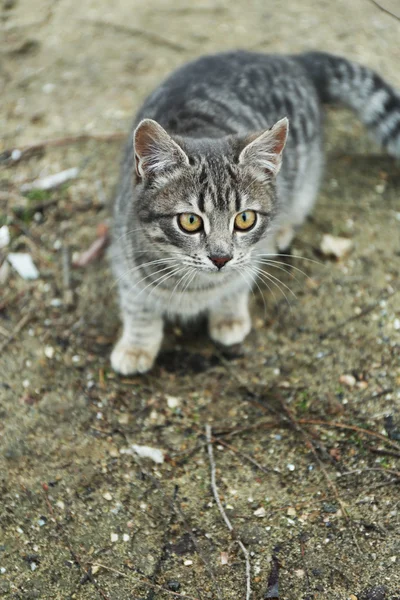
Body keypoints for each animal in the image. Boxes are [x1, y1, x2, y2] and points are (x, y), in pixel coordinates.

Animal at [109, 50, 400, 376]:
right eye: (190, 221)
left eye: (245, 219)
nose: (221, 258)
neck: (197, 286)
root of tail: (289, 59)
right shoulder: (124, 257)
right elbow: (138, 306)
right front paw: (136, 345)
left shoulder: (249, 257)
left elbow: (237, 283)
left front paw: (229, 315)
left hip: (304, 176)